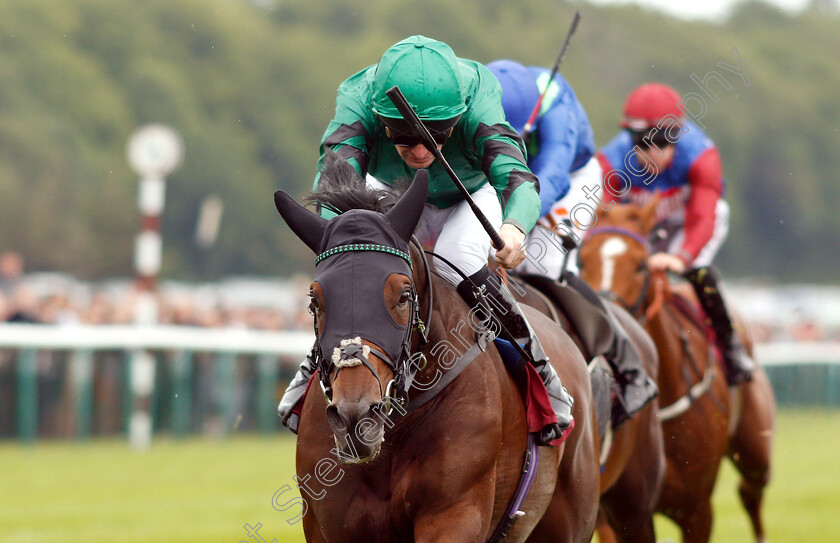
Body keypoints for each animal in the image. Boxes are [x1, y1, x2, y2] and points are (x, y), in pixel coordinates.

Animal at [576, 201, 776, 543]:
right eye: (580, 260)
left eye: (641, 266)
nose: (603, 318)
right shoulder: (611, 511)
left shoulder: (696, 510)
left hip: (755, 449)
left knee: (751, 489)